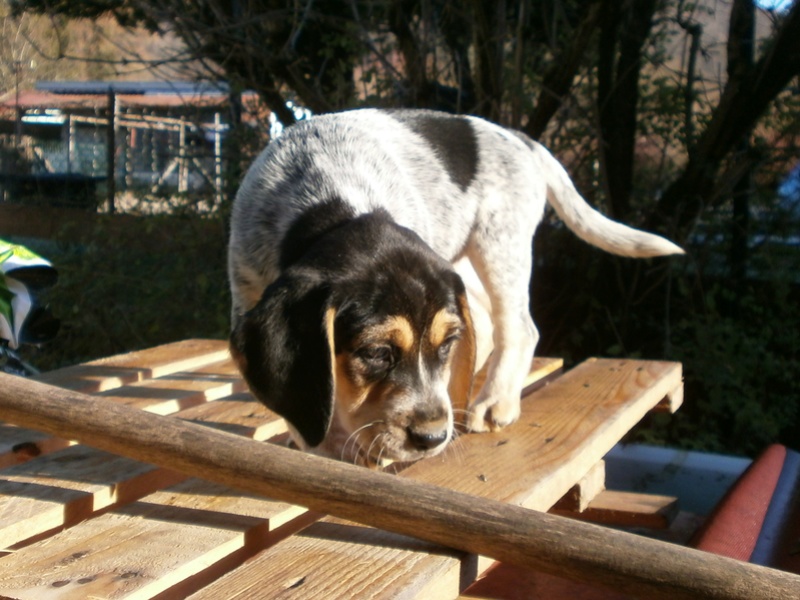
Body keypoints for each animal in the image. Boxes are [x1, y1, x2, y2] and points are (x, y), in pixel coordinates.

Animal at [227, 106, 680, 464]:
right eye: (375, 353)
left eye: (446, 346)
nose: (432, 438)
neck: (331, 200)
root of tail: (520, 139)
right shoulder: (246, 288)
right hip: (467, 266)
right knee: (489, 323)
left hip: (501, 245)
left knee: (518, 327)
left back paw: (497, 400)